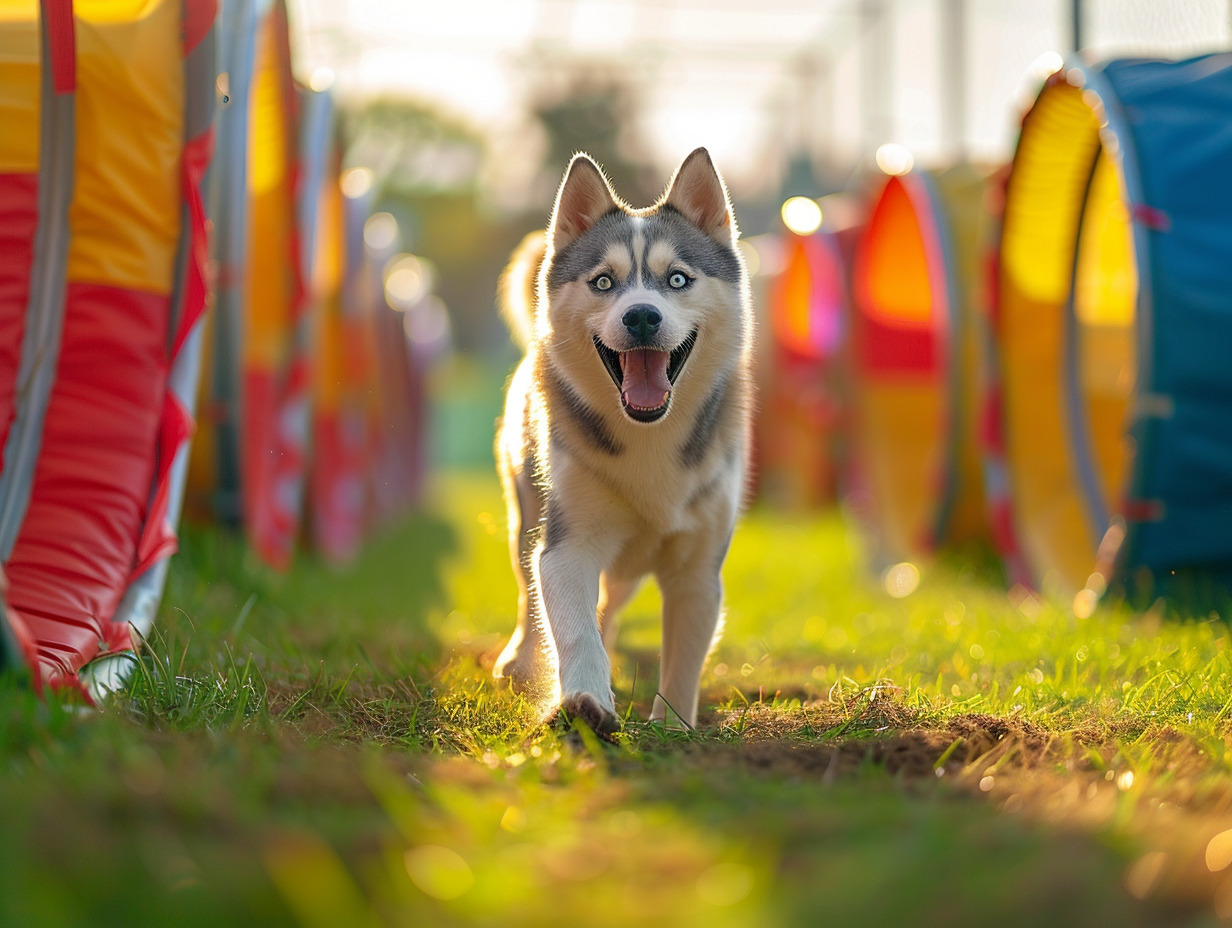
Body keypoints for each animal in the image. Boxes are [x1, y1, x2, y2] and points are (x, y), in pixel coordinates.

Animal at [490, 148, 749, 734]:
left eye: (677, 279)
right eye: (604, 282)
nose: (642, 316)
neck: (648, 437)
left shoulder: (698, 569)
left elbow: (683, 660)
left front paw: (673, 726)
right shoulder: (567, 545)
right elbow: (572, 628)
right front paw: (584, 700)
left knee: (609, 603)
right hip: (526, 514)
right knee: (528, 595)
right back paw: (520, 659)